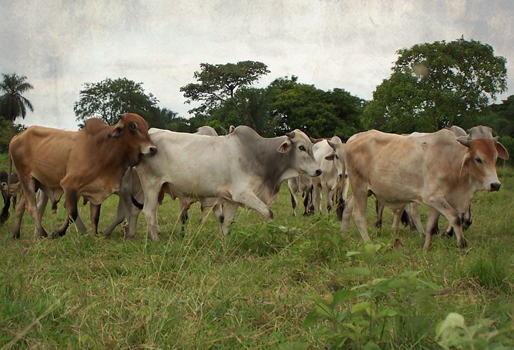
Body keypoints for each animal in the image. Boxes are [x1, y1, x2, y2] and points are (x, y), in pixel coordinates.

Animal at [8, 113, 156, 239]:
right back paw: (43, 233)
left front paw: (94, 235)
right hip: (25, 177)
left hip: (33, 182)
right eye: (133, 126)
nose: (153, 148)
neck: (103, 148)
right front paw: (58, 233)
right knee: (32, 207)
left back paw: (16, 234)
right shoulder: (69, 185)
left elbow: (95, 216)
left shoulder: (97, 189)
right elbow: (72, 212)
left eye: (146, 127)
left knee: (20, 206)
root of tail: (17, 136)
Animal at [135, 124, 320, 242]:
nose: (318, 171)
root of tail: (150, 138)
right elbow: (269, 213)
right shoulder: (244, 194)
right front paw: (272, 236)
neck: (257, 154)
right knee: (149, 212)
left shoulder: (233, 200)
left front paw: (224, 243)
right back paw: (157, 240)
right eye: (301, 147)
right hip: (151, 185)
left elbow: (227, 221)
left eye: (312, 147)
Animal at [338, 127, 506, 250]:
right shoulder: (433, 197)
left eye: (495, 158)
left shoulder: (437, 201)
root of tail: (354, 138)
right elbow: (454, 217)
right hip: (359, 186)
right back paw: (368, 243)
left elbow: (431, 225)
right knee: (359, 215)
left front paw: (426, 247)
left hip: (363, 190)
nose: (496, 185)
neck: (451, 160)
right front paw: (462, 244)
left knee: (347, 208)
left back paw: (343, 237)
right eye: (478, 159)